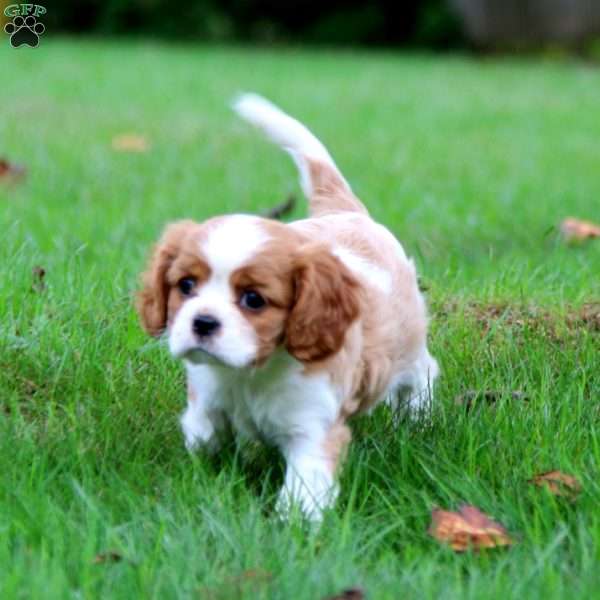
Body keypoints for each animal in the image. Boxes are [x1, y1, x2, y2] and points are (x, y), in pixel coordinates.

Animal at [137, 94, 436, 520]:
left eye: (253, 300)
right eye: (186, 286)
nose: (203, 323)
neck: (251, 374)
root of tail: (345, 212)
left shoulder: (313, 428)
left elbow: (303, 490)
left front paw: (292, 525)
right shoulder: (208, 396)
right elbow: (203, 431)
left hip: (407, 344)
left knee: (421, 373)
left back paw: (417, 420)